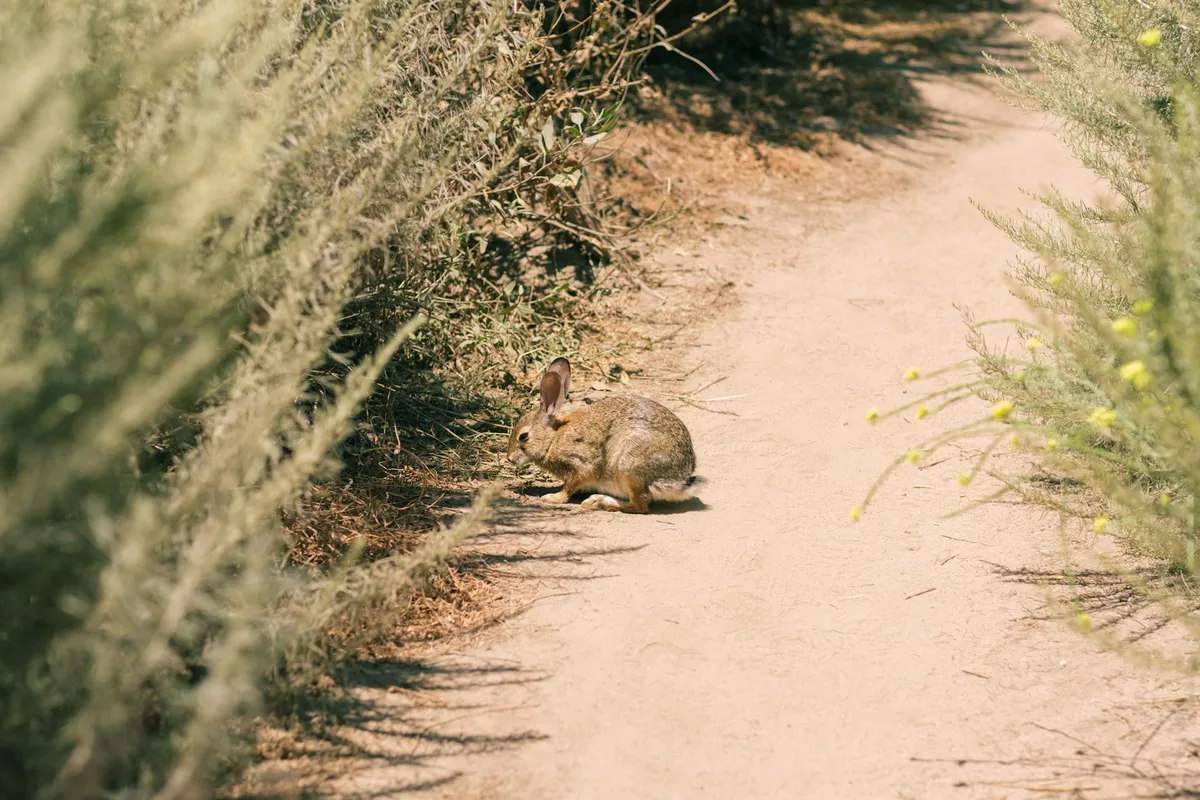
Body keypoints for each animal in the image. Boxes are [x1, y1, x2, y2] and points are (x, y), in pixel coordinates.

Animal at [506, 356, 704, 513]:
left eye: (523, 436)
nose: (509, 459)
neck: (553, 439)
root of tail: (679, 479)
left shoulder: (580, 466)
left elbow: (568, 488)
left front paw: (551, 498)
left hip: (627, 468)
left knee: (640, 506)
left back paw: (598, 502)